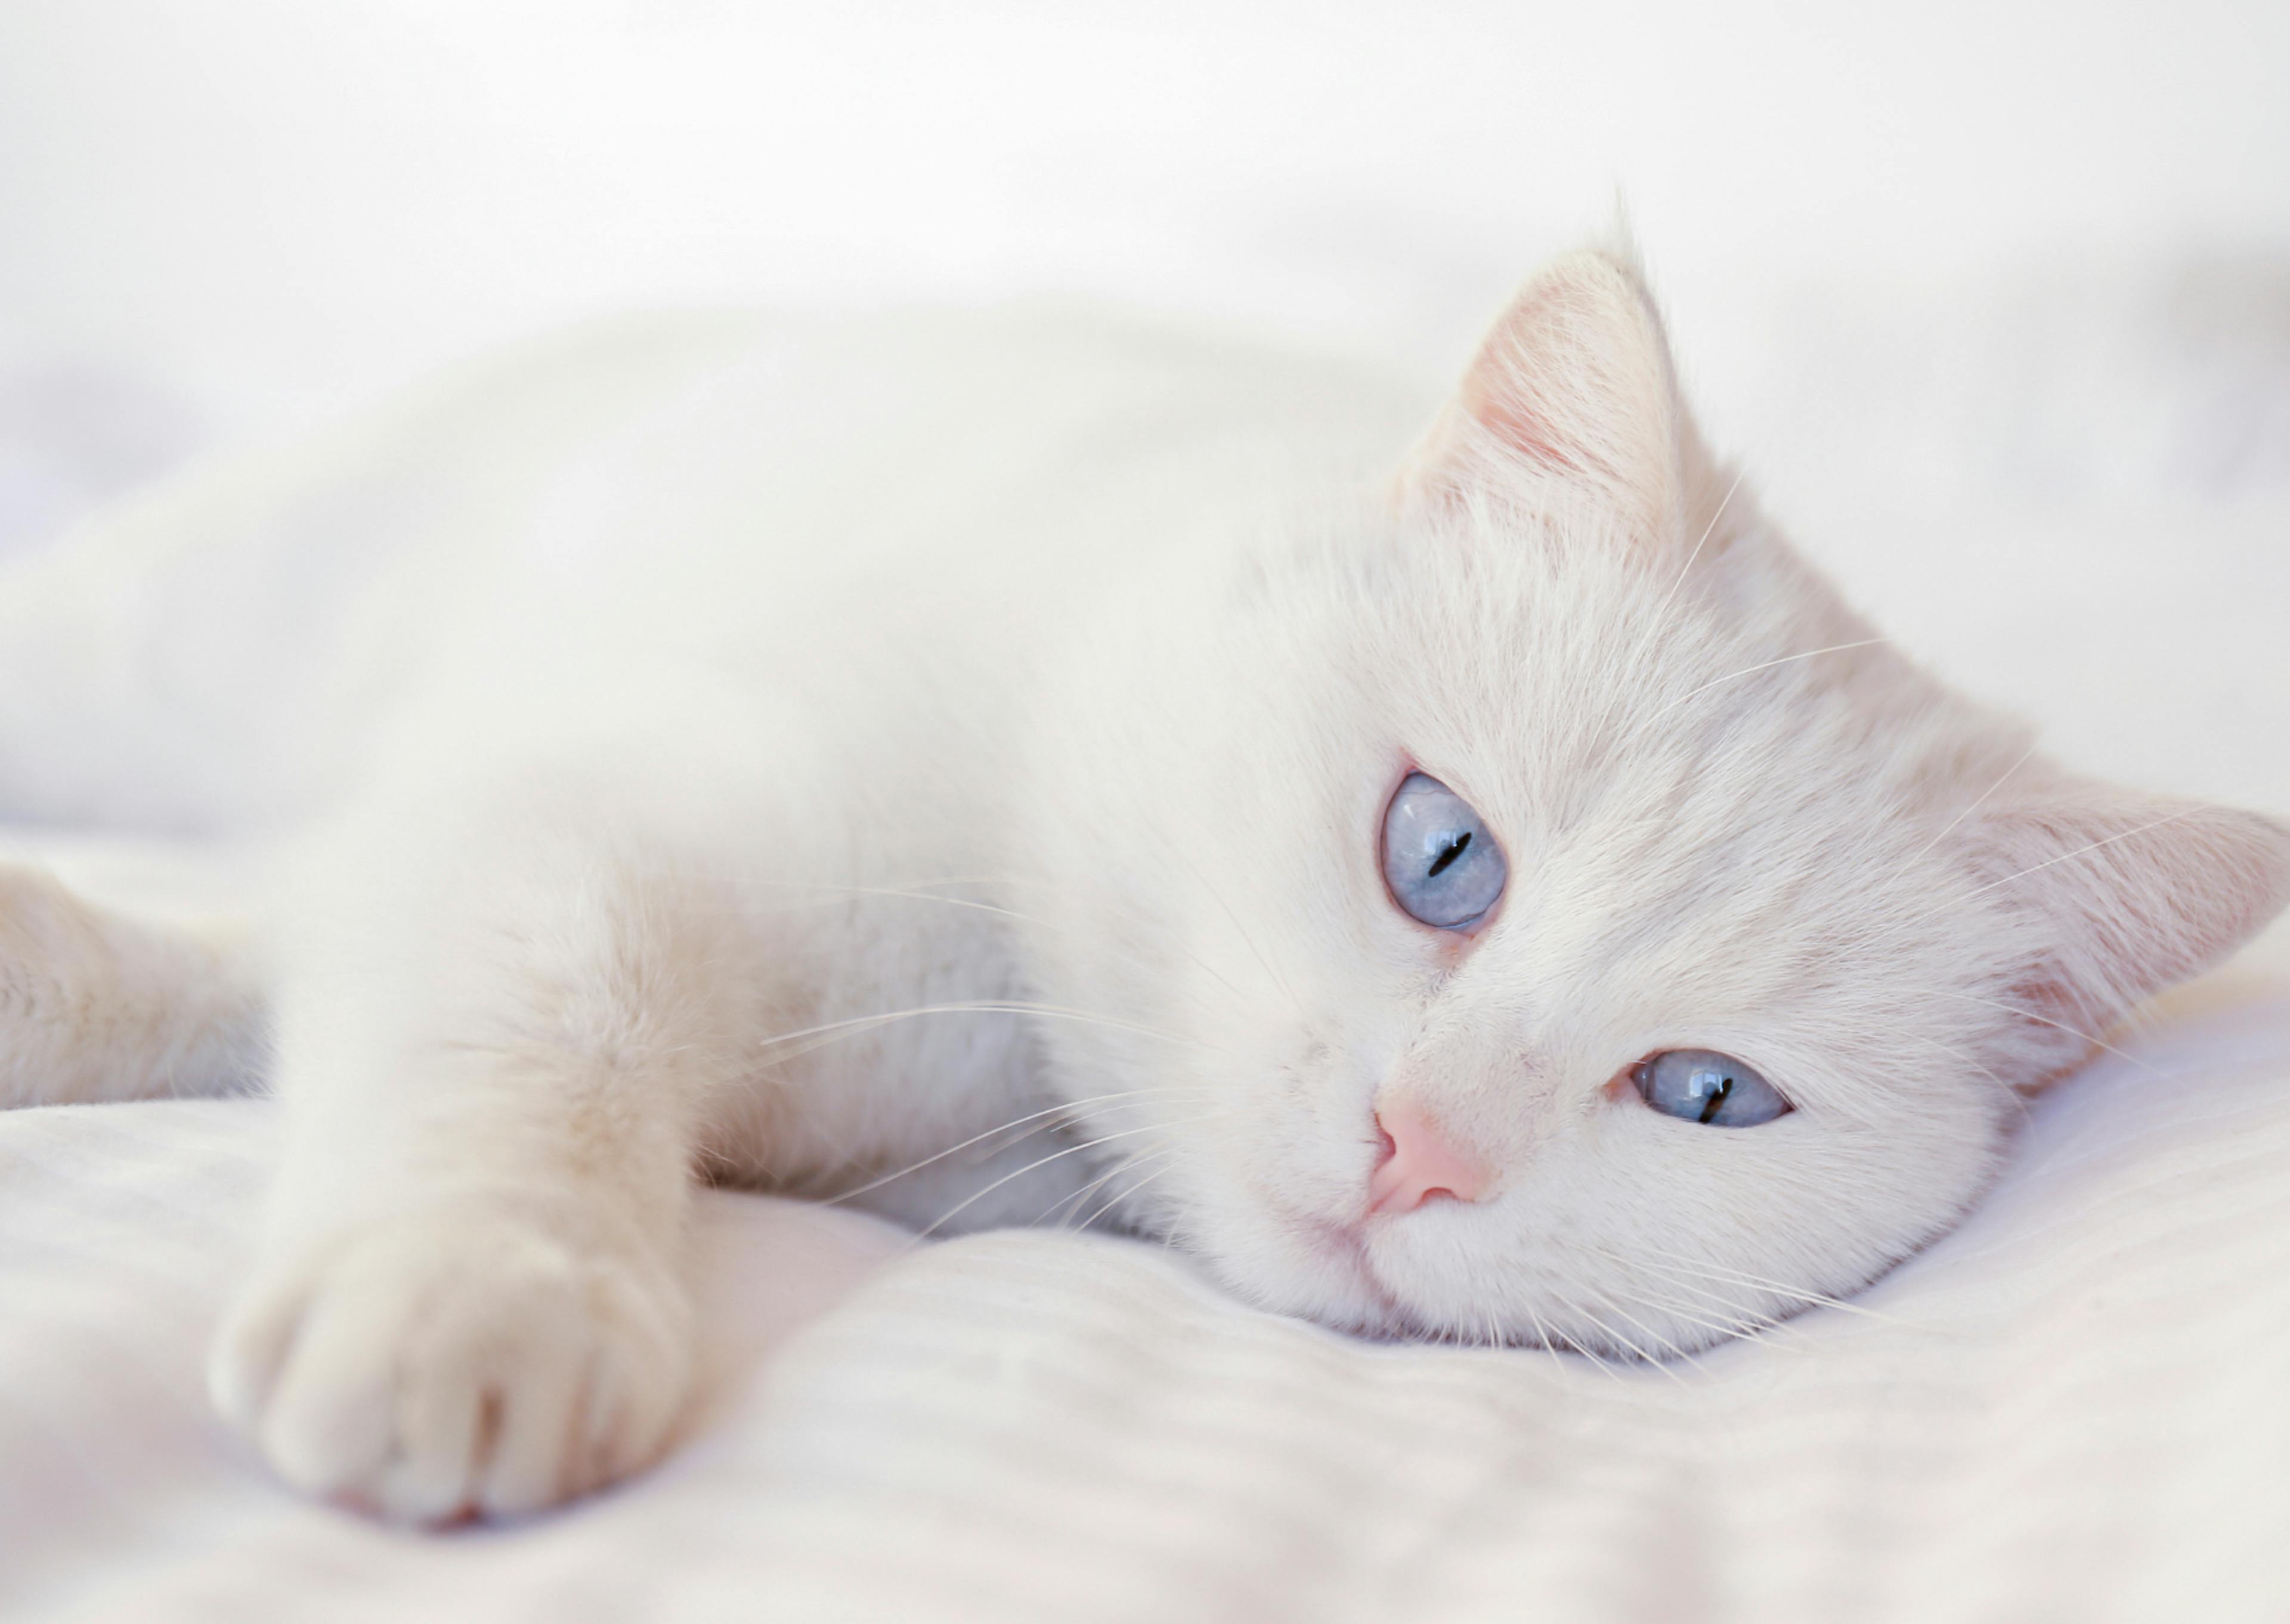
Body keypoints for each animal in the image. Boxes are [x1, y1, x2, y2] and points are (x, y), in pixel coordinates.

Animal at [0, 244, 2280, 1521]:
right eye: (1441, 852)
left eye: (1710, 1094)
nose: (1419, 1144)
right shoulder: (584, 810)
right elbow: (533, 1018)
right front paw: (482, 1289)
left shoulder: (457, 831)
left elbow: (274, 971)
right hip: (177, 622)